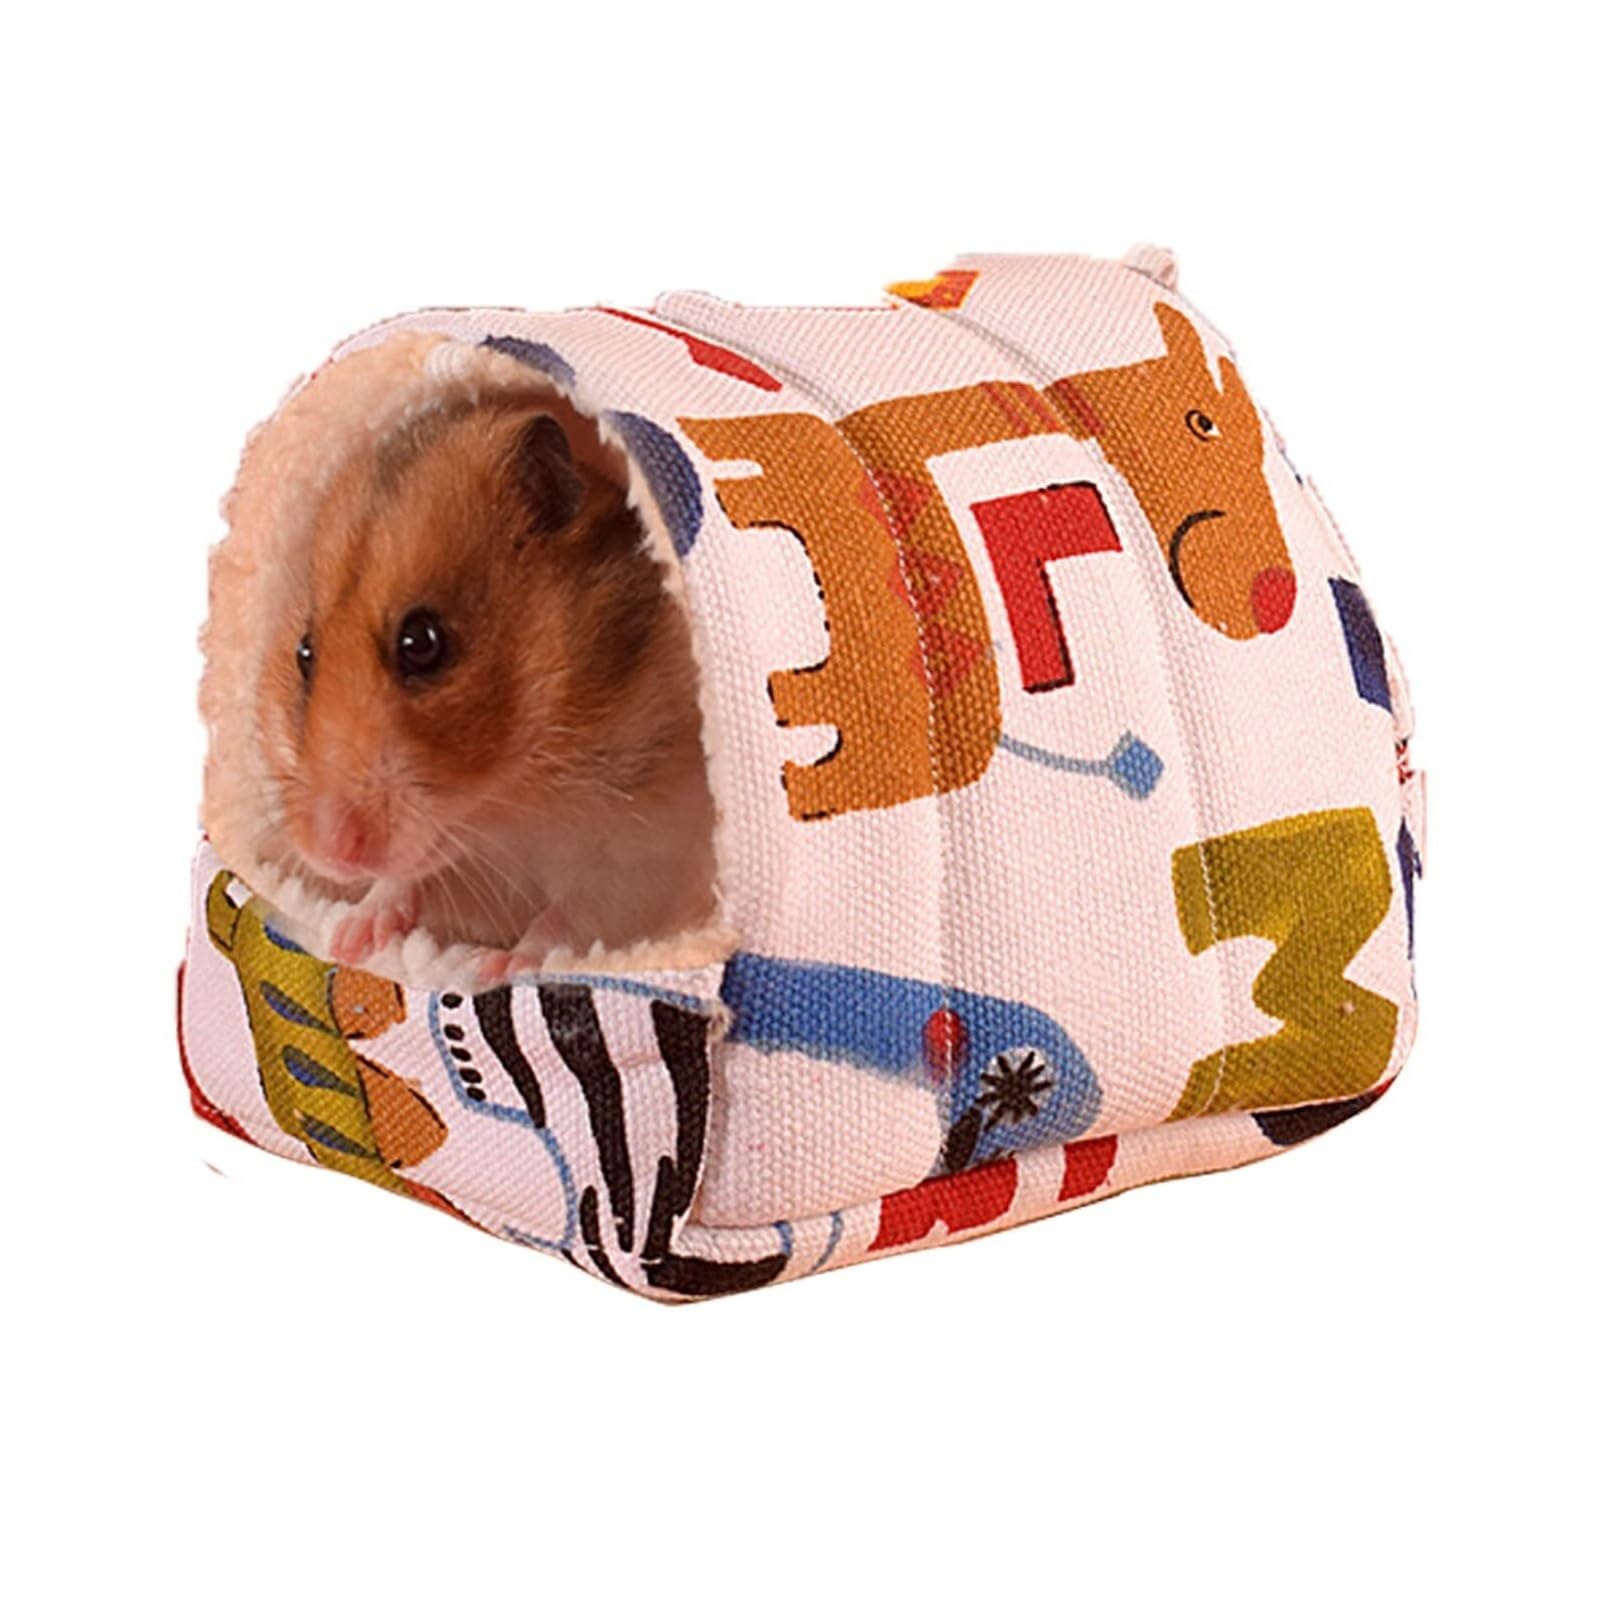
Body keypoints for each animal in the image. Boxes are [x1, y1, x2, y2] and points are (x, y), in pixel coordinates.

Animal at [255, 396, 716, 980]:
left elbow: (568, 919)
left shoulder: (645, 856)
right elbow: (403, 881)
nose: (330, 854)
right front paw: (352, 937)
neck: (515, 806)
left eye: (423, 642)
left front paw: (497, 968)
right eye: (304, 654)